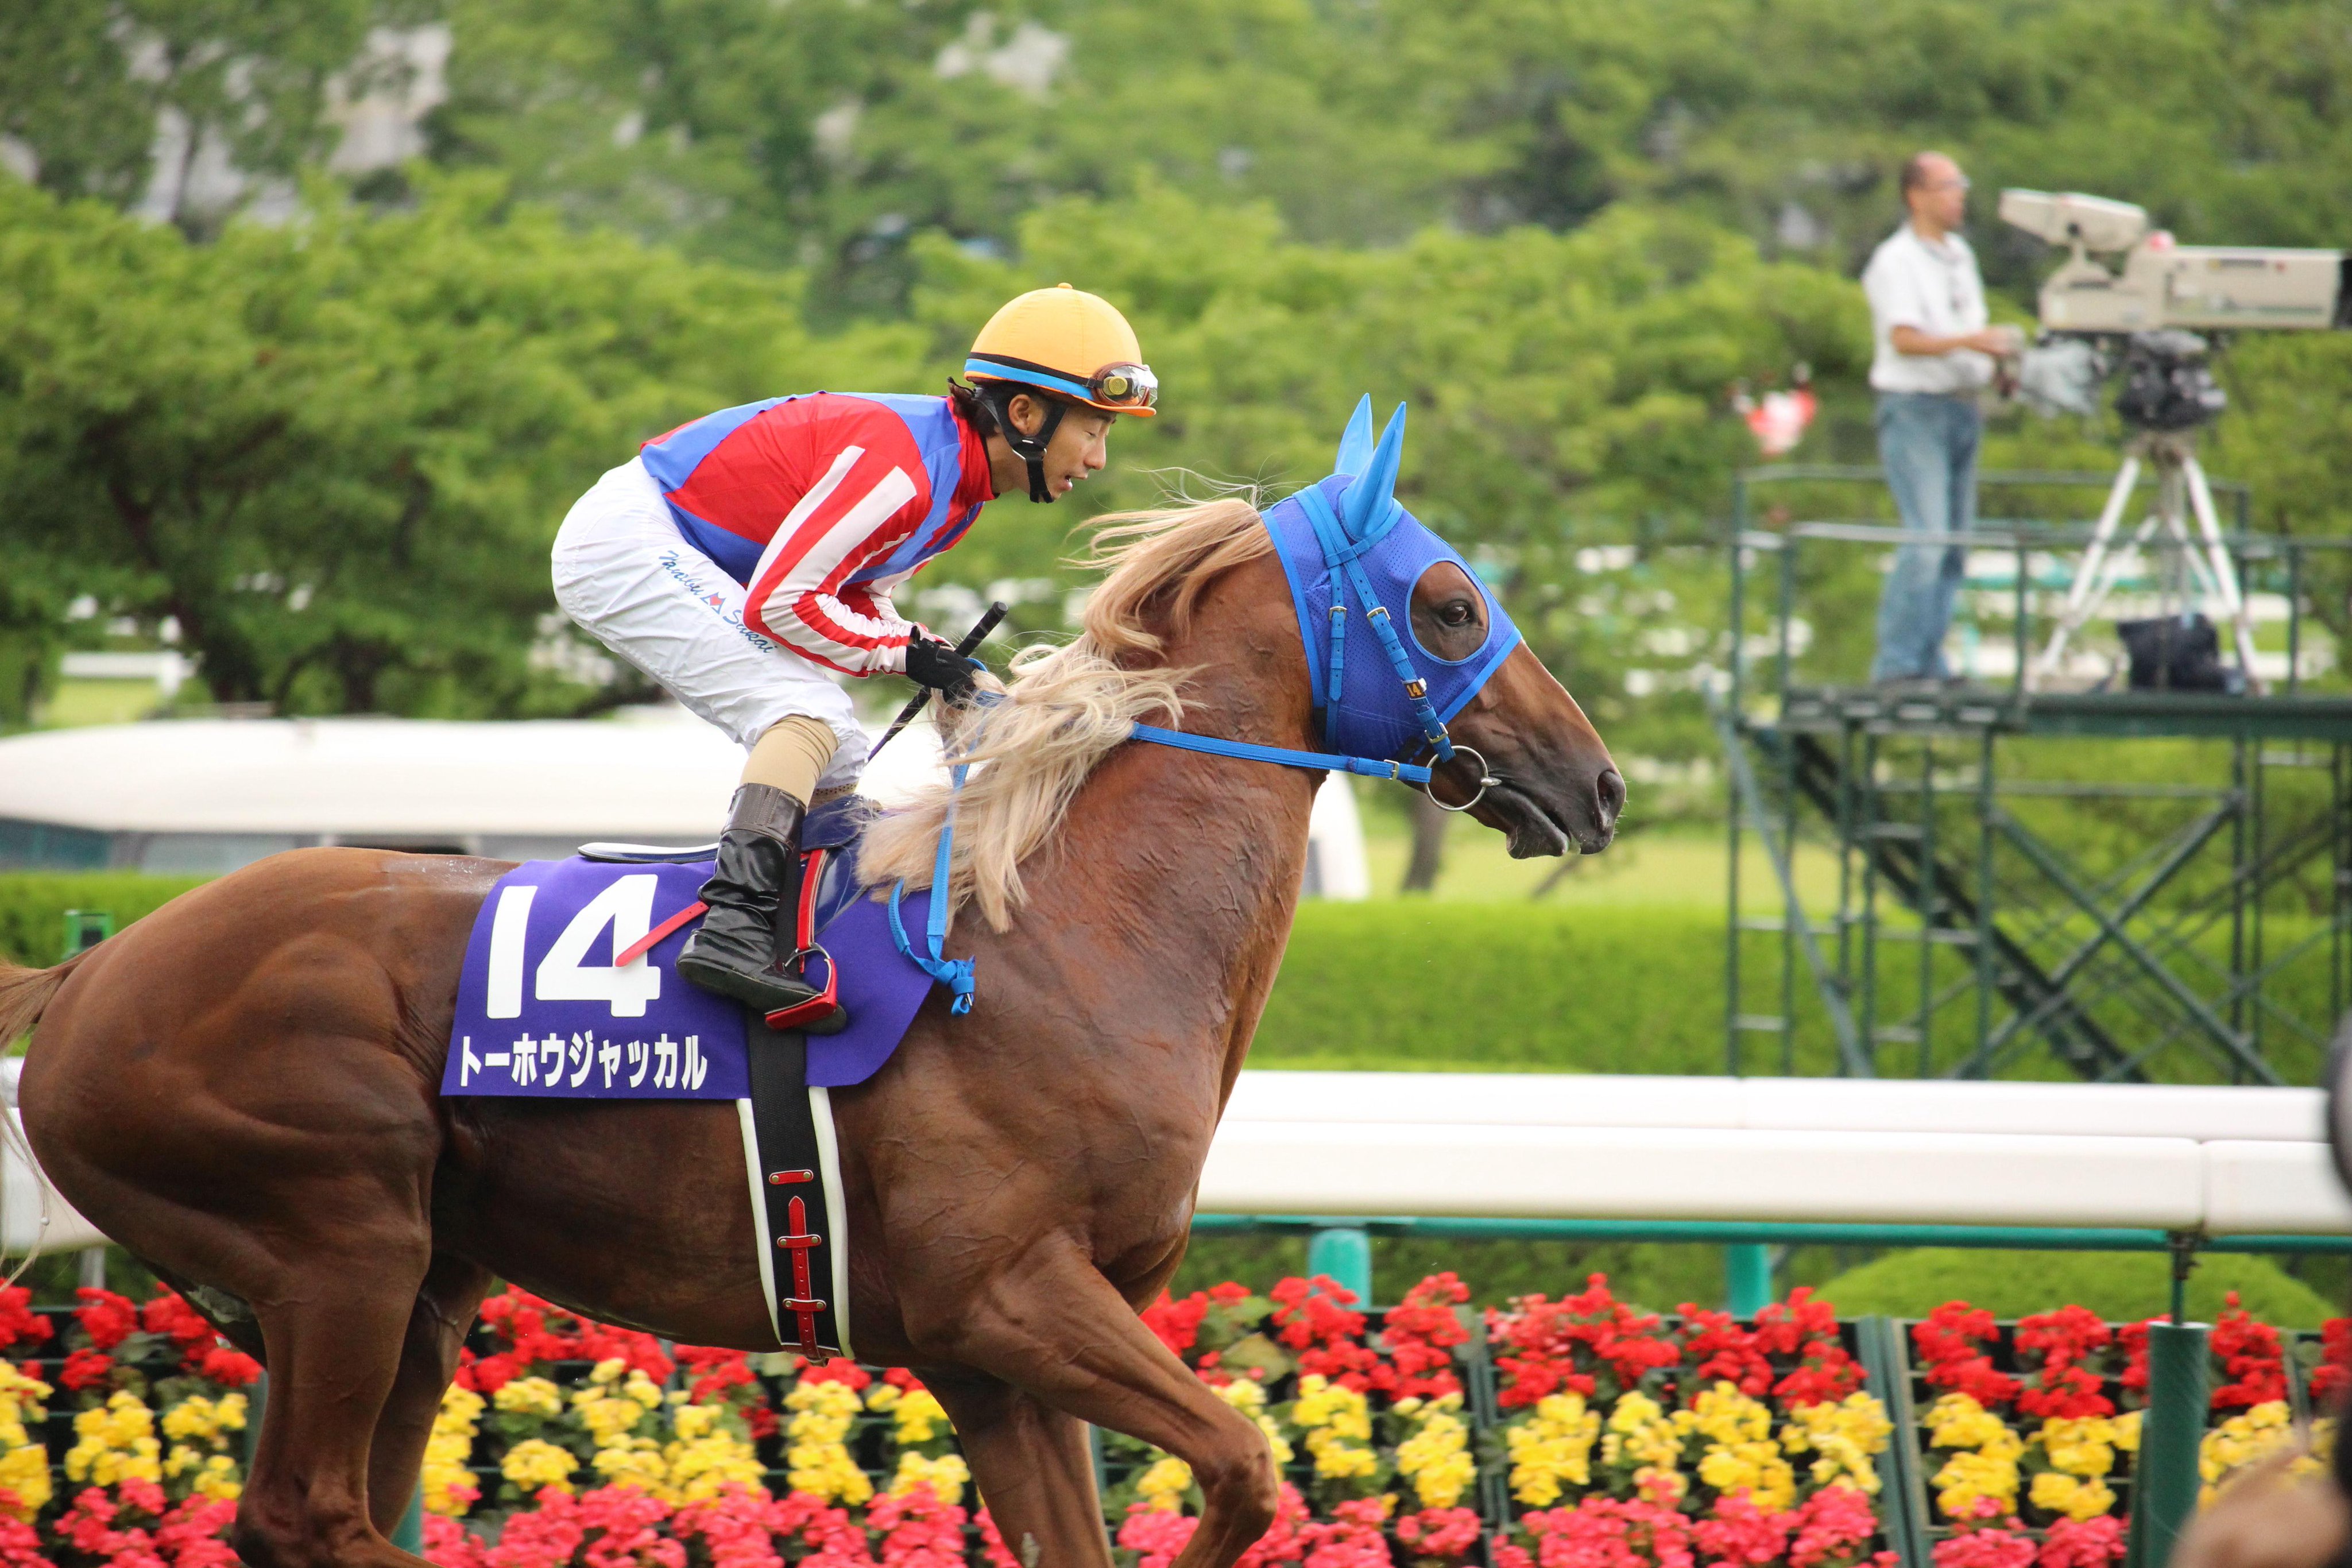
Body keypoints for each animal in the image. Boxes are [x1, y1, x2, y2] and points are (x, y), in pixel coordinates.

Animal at [0, 493, 1620, 1568]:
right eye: (1450, 604)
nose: (1598, 784)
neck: (1061, 936)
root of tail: (87, 976)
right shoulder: (1009, 1295)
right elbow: (1238, 1464)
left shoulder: (998, 1356)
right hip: (339, 1241)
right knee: (310, 1512)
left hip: (421, 1285)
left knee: (312, 1509)